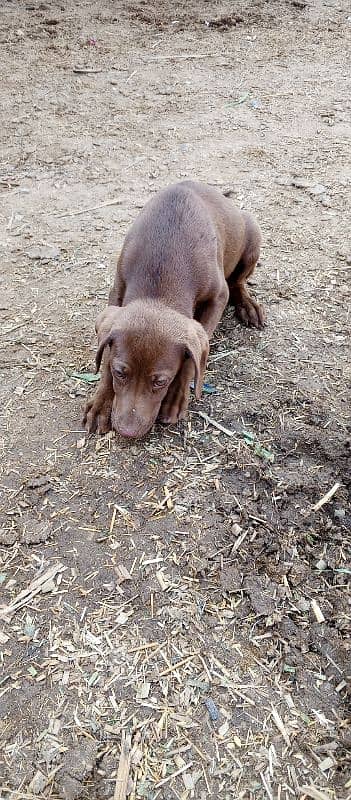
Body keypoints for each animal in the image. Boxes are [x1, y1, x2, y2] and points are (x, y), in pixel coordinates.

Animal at [83, 180, 264, 438]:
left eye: (160, 381)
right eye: (120, 373)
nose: (128, 432)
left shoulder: (218, 298)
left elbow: (191, 361)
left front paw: (176, 399)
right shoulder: (117, 291)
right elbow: (107, 354)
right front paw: (100, 404)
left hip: (252, 235)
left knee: (238, 282)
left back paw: (248, 306)